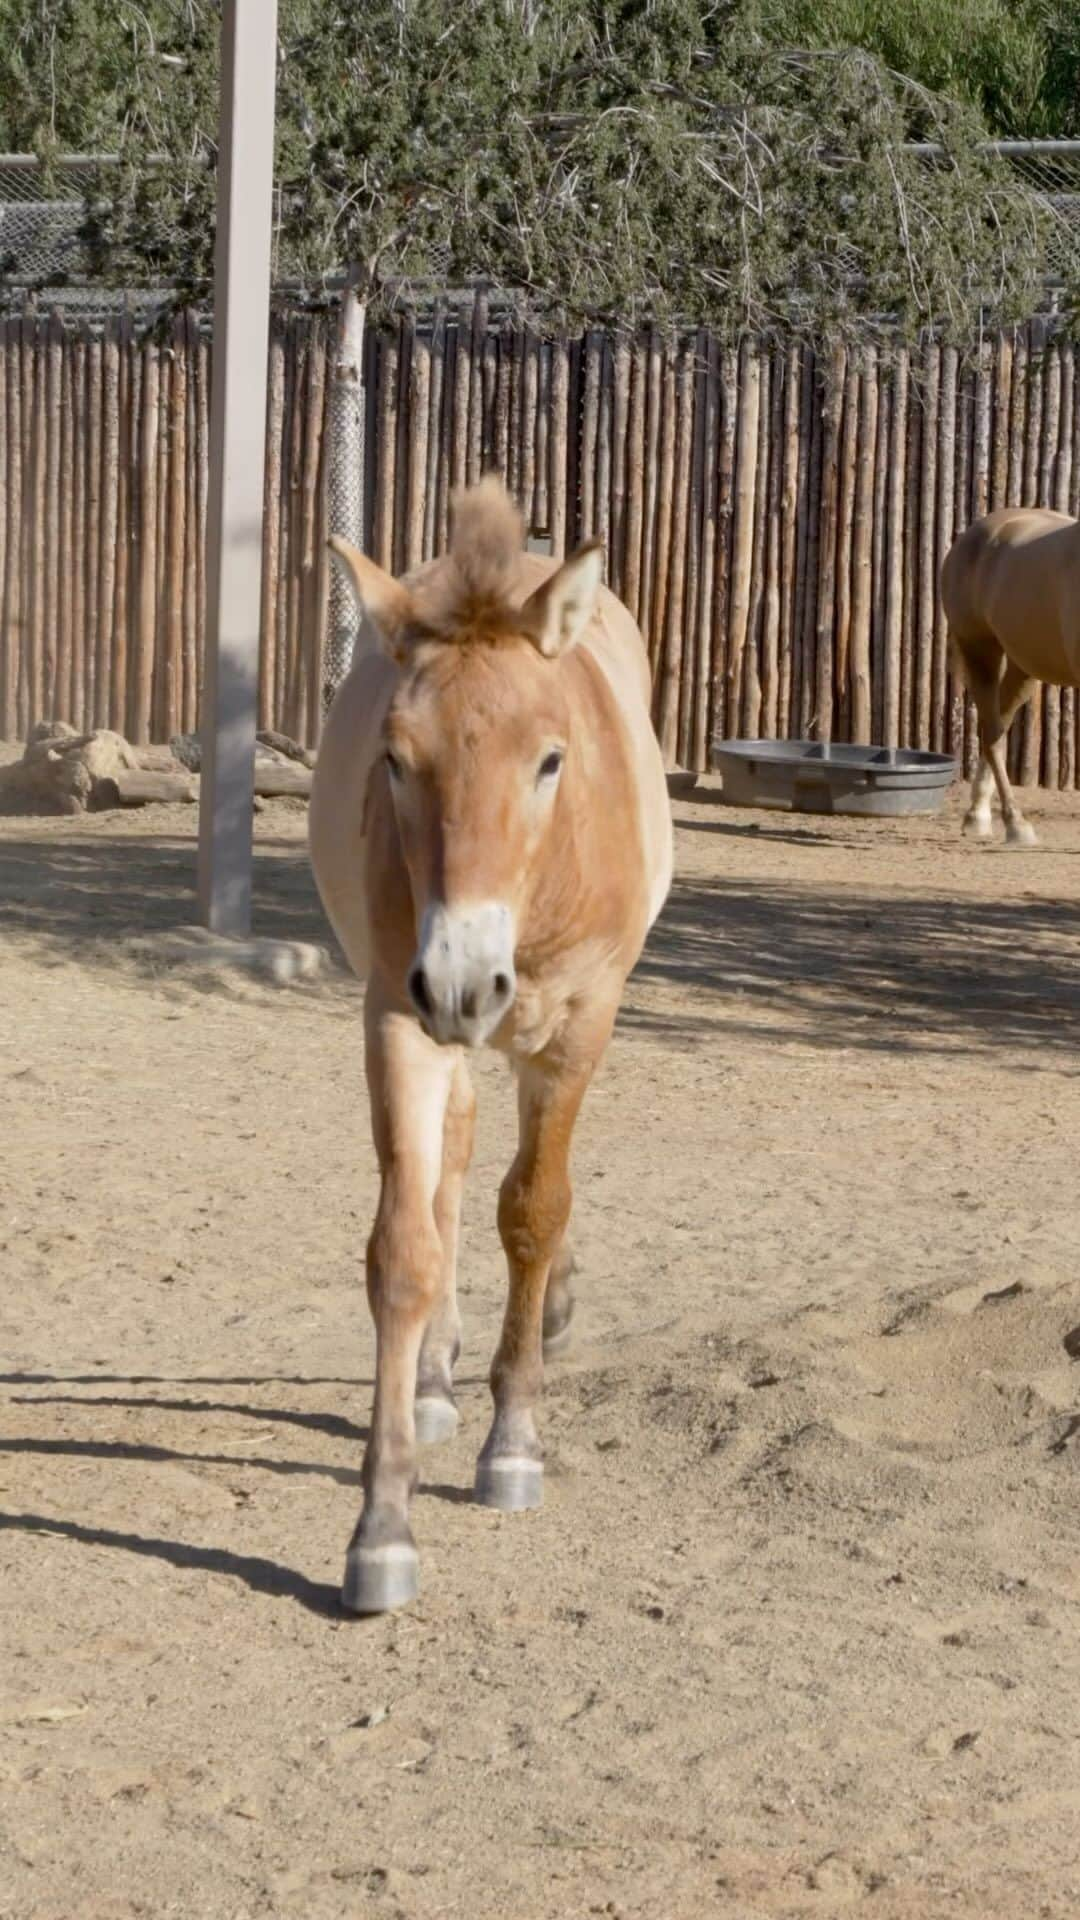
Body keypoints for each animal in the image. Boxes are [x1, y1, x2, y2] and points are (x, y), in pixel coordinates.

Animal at [307, 476, 668, 1605]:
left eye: (549, 758)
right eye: (394, 759)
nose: (467, 981)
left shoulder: (579, 1027)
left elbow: (535, 1211)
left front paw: (513, 1442)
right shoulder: (398, 1014)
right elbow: (404, 1249)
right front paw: (382, 1528)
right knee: (454, 1168)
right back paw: (434, 1376)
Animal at [933, 506, 1076, 844]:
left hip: (1023, 670)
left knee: (996, 729)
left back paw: (977, 816)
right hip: (980, 652)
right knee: (992, 735)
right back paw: (1014, 824)